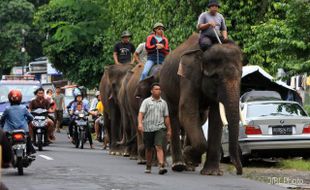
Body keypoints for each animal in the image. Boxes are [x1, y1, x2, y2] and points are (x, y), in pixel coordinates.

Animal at [160, 33, 245, 175]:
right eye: (216, 77)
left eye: (241, 76)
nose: (239, 171)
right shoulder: (188, 76)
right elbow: (186, 109)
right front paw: (188, 154)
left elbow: (216, 117)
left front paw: (212, 172)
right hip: (165, 88)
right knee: (173, 116)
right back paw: (179, 165)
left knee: (198, 118)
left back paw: (189, 165)